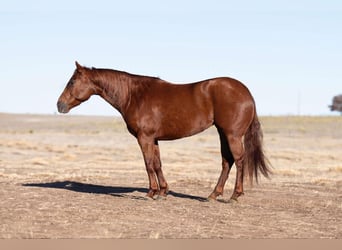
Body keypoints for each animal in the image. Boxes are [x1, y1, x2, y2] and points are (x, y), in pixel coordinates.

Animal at [57, 61, 272, 202]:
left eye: (72, 82)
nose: (60, 105)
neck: (135, 95)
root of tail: (246, 92)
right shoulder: (154, 139)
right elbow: (158, 164)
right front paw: (163, 192)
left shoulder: (144, 138)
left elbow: (148, 164)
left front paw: (151, 192)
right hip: (222, 133)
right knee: (227, 161)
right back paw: (213, 195)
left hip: (232, 135)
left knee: (239, 160)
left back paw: (235, 195)